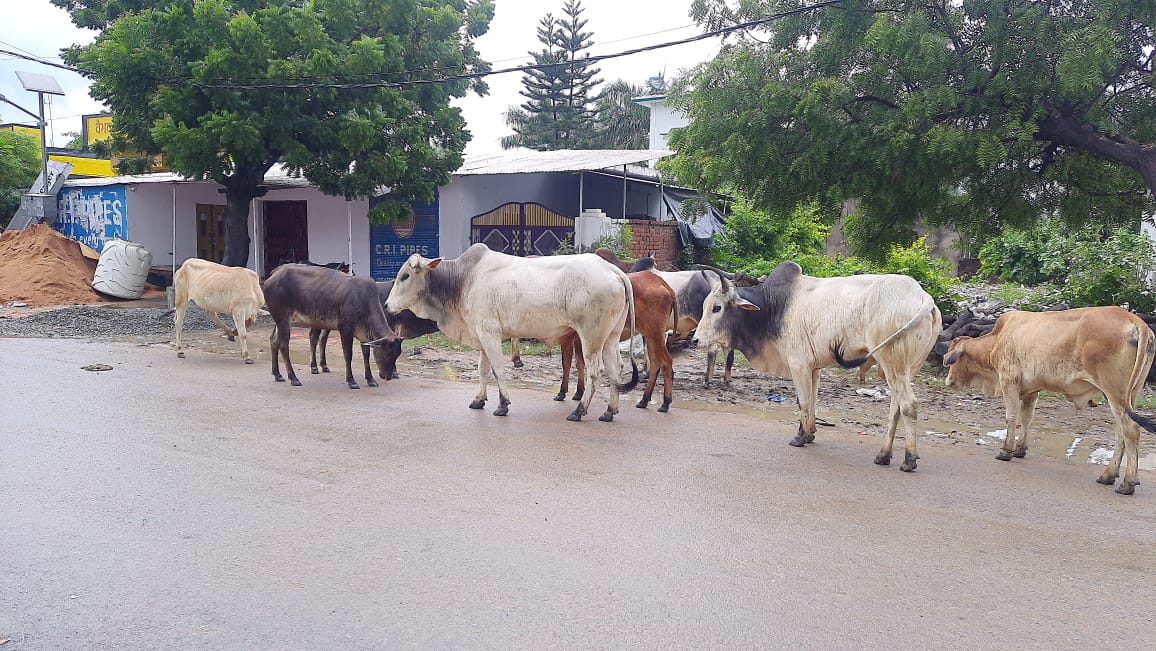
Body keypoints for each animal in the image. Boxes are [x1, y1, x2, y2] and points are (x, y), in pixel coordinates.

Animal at [262, 263, 402, 390]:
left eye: (397, 355)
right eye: (387, 354)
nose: (388, 376)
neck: (363, 300)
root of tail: (276, 272)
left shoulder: (364, 335)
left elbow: (366, 355)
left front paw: (371, 380)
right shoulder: (345, 330)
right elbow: (348, 355)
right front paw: (351, 381)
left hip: (280, 320)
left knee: (273, 340)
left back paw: (277, 374)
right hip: (282, 318)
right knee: (283, 345)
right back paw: (293, 378)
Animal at [386, 245, 642, 423]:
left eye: (405, 276)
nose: (387, 306)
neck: (462, 280)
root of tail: (612, 269)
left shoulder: (490, 333)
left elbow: (498, 369)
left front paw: (503, 404)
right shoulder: (481, 335)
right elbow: (482, 370)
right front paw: (479, 400)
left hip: (591, 338)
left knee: (595, 372)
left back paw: (579, 411)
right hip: (610, 337)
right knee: (615, 368)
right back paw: (609, 411)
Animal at [554, 270, 679, 411]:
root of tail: (661, 282)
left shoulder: (567, 338)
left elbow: (567, 364)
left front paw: (562, 392)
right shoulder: (579, 339)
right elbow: (579, 364)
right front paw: (579, 392)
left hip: (655, 334)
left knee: (666, 362)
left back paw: (665, 402)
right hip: (650, 335)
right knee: (655, 363)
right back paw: (644, 400)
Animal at [688, 262, 943, 471]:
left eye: (717, 307)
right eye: (706, 305)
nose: (695, 340)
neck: (775, 307)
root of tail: (924, 297)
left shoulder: (798, 364)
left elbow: (802, 401)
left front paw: (800, 438)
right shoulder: (814, 368)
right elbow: (811, 401)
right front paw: (808, 433)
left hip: (892, 362)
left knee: (908, 405)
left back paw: (909, 459)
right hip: (907, 368)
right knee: (896, 408)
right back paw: (884, 455)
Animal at [943, 307, 1156, 497]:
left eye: (952, 359)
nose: (948, 381)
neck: (998, 339)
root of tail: (1135, 321)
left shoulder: (1009, 382)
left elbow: (1011, 417)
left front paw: (1005, 451)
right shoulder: (1031, 391)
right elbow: (1026, 419)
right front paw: (1020, 449)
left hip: (1114, 392)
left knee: (1130, 431)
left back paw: (1127, 483)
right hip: (1128, 395)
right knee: (1121, 433)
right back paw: (1108, 476)